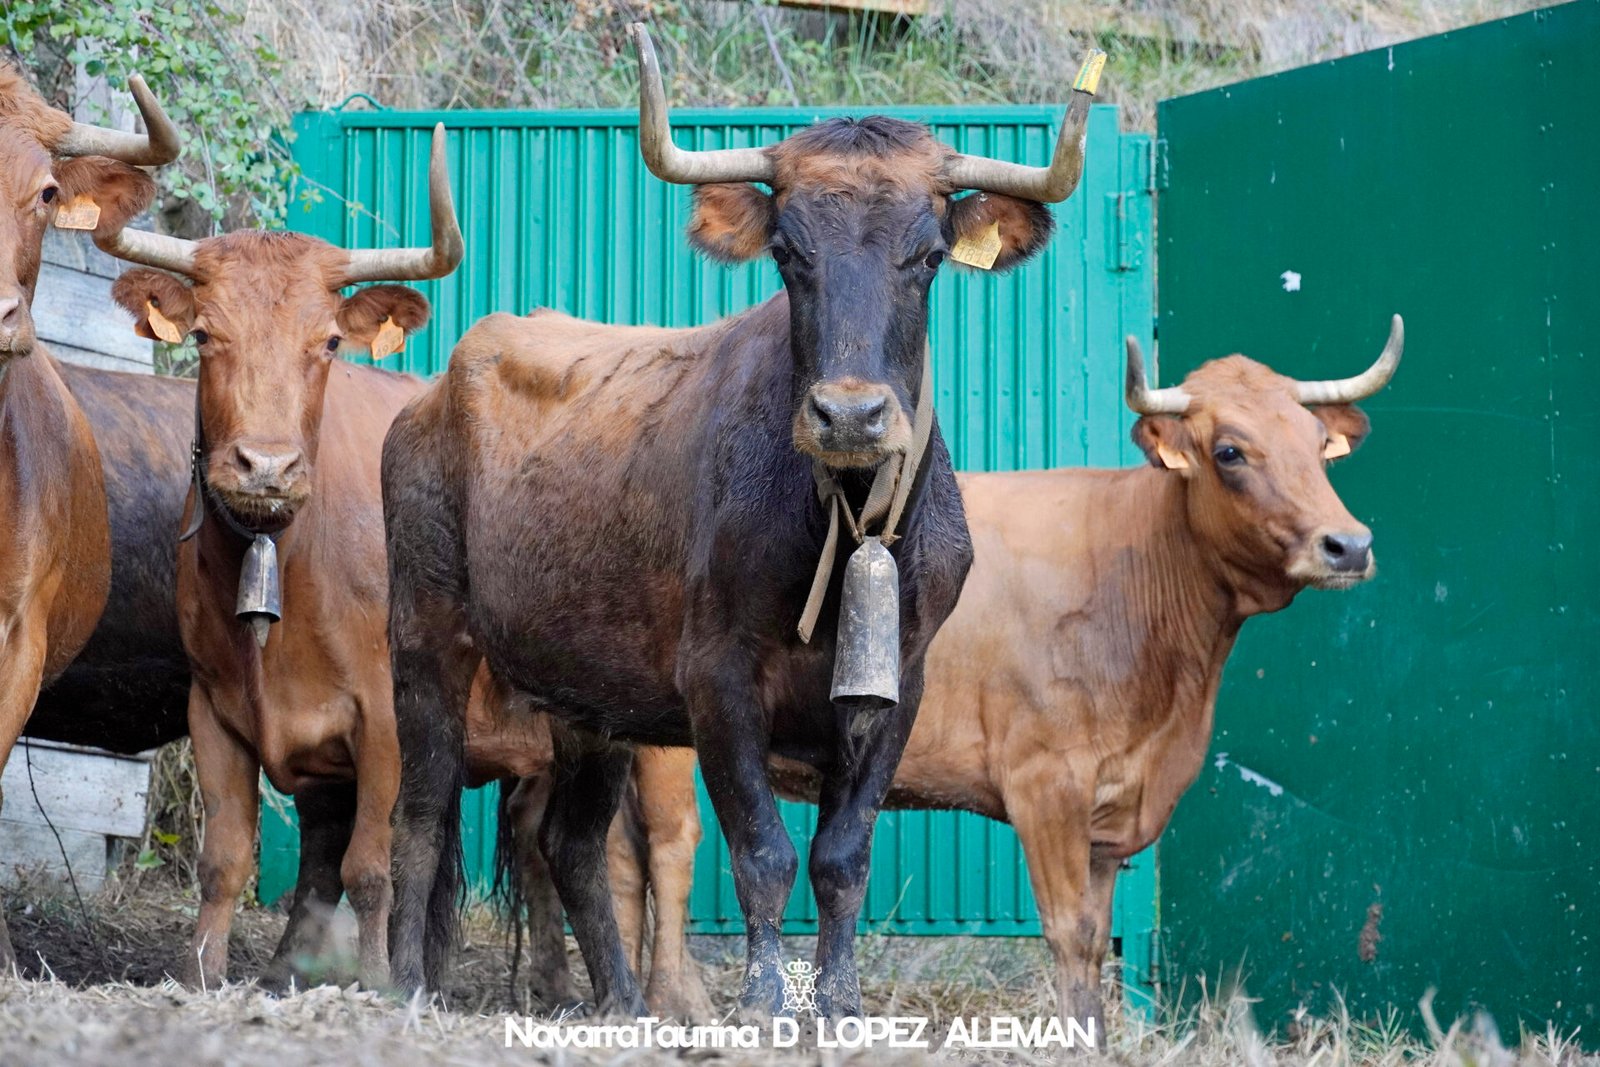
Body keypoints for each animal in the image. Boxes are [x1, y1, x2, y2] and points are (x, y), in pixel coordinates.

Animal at [96, 127, 464, 991]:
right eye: (204, 334)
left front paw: (375, 980)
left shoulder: (383, 717)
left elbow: (373, 865)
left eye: (327, 341)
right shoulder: (213, 706)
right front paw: (203, 971)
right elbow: (226, 858)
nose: (265, 465)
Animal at [379, 27, 1100, 1017]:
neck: (841, 522)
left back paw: (625, 1002)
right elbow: (763, 848)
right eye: (789, 253)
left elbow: (842, 856)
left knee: (570, 839)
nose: (849, 414)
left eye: (926, 256)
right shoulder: (716, 676)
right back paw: (408, 983)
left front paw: (839, 1000)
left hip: (589, 696)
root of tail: (435, 389)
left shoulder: (900, 684)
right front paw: (763, 997)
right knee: (420, 809)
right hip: (425, 628)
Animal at [521, 321, 1401, 1030]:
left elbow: (1095, 936)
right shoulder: (1047, 783)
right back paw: (682, 1003)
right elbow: (1071, 935)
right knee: (664, 849)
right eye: (1229, 451)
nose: (1350, 544)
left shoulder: (1110, 808)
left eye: (1317, 445)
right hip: (675, 732)